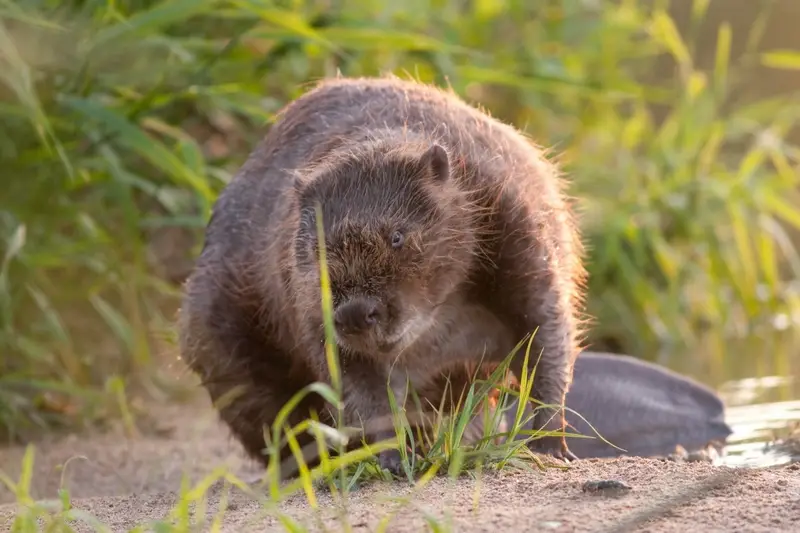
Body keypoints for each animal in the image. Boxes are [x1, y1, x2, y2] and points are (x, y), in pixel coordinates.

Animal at [177, 74, 588, 474]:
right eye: (315, 248)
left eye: (397, 236)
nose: (356, 314)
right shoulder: (307, 304)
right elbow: (355, 382)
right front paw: (394, 458)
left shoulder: (518, 228)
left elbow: (545, 334)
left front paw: (551, 445)